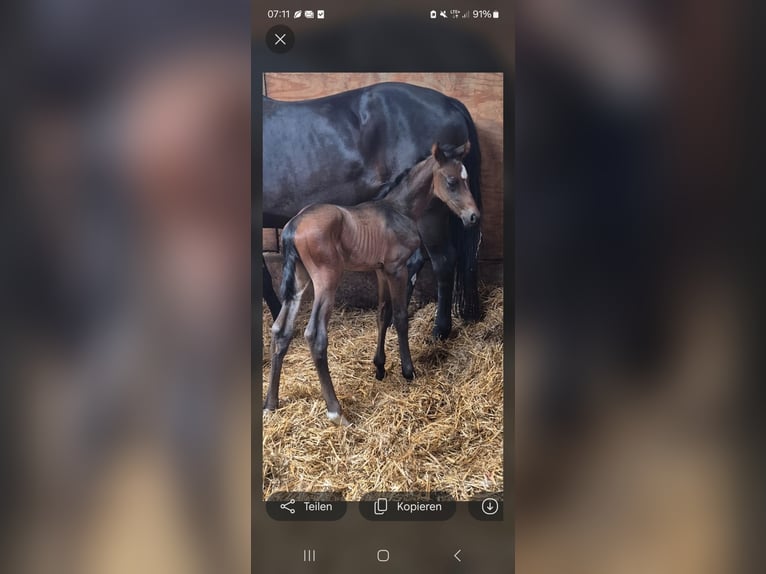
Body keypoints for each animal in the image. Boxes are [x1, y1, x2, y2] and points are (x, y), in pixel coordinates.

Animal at [264, 142, 479, 426]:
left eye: (467, 179)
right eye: (452, 181)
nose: (473, 216)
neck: (399, 209)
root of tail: (291, 227)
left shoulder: (380, 270)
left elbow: (382, 315)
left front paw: (379, 366)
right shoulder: (397, 268)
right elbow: (400, 317)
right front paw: (408, 370)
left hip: (298, 280)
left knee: (281, 330)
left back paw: (271, 404)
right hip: (326, 278)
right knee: (315, 334)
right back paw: (336, 411)